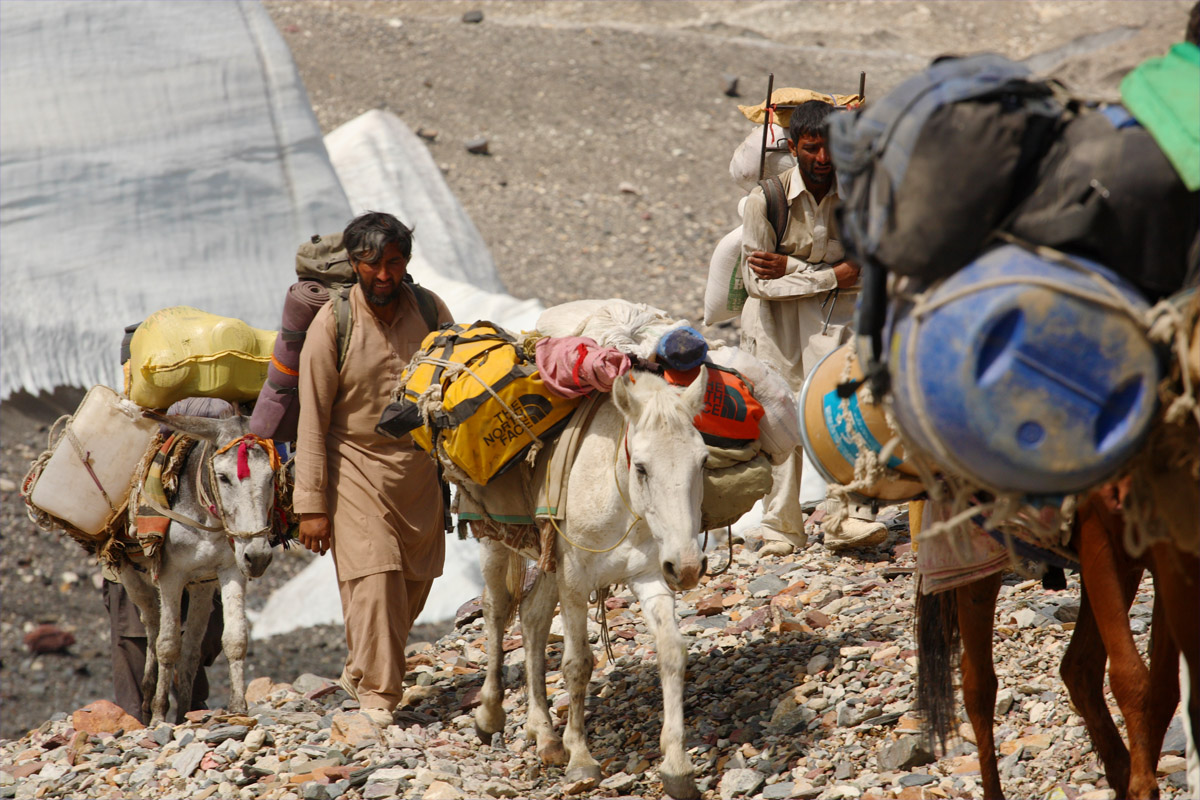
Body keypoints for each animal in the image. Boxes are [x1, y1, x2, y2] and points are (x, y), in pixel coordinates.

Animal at [123, 412, 279, 724]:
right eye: (223, 477)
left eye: (271, 476)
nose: (258, 557)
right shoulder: (170, 576)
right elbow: (168, 645)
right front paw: (159, 716)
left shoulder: (231, 569)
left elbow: (235, 638)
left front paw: (238, 707)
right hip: (131, 577)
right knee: (152, 625)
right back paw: (148, 699)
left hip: (202, 587)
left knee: (192, 650)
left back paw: (185, 711)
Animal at [472, 371, 705, 800]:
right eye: (642, 468)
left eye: (703, 461)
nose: (688, 568)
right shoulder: (575, 581)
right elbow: (577, 664)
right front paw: (580, 759)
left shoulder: (649, 576)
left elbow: (672, 651)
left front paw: (677, 766)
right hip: (494, 540)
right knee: (496, 610)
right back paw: (490, 713)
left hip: (548, 562)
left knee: (531, 616)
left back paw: (544, 733)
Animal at [916, 491, 1190, 796]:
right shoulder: (1098, 537)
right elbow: (1130, 678)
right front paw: (1142, 787)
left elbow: (1164, 691)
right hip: (974, 550)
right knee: (978, 684)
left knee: (1079, 667)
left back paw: (1121, 774)